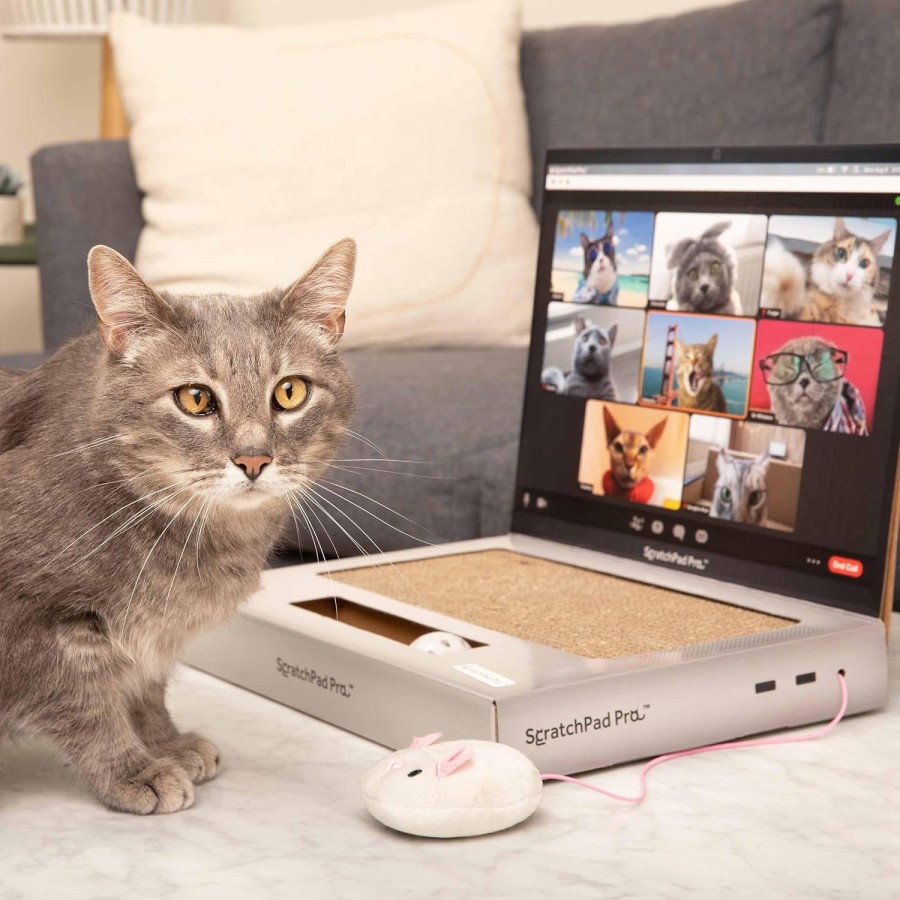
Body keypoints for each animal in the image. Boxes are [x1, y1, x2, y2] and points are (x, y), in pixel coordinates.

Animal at [0, 239, 356, 816]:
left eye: (290, 392)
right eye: (195, 398)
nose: (254, 459)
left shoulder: (156, 635)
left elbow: (145, 688)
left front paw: (165, 743)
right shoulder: (31, 624)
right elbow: (83, 703)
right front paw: (131, 768)